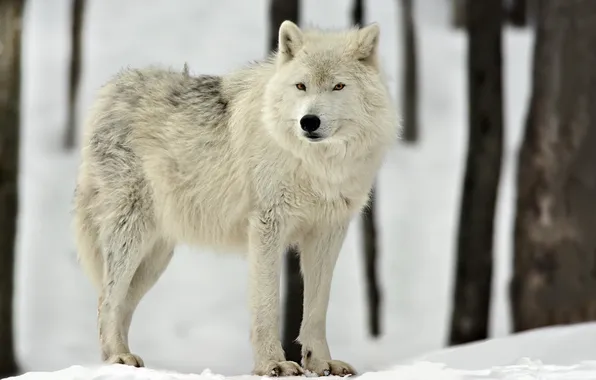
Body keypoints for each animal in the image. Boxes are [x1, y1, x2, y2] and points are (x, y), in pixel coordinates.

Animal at [74, 20, 398, 378]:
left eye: (338, 86)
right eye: (301, 86)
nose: (309, 122)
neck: (317, 164)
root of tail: (108, 93)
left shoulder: (327, 234)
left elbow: (317, 307)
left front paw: (321, 363)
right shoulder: (267, 226)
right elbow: (266, 303)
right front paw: (273, 364)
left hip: (155, 258)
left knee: (120, 304)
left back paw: (121, 360)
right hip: (131, 238)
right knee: (107, 301)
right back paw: (119, 358)